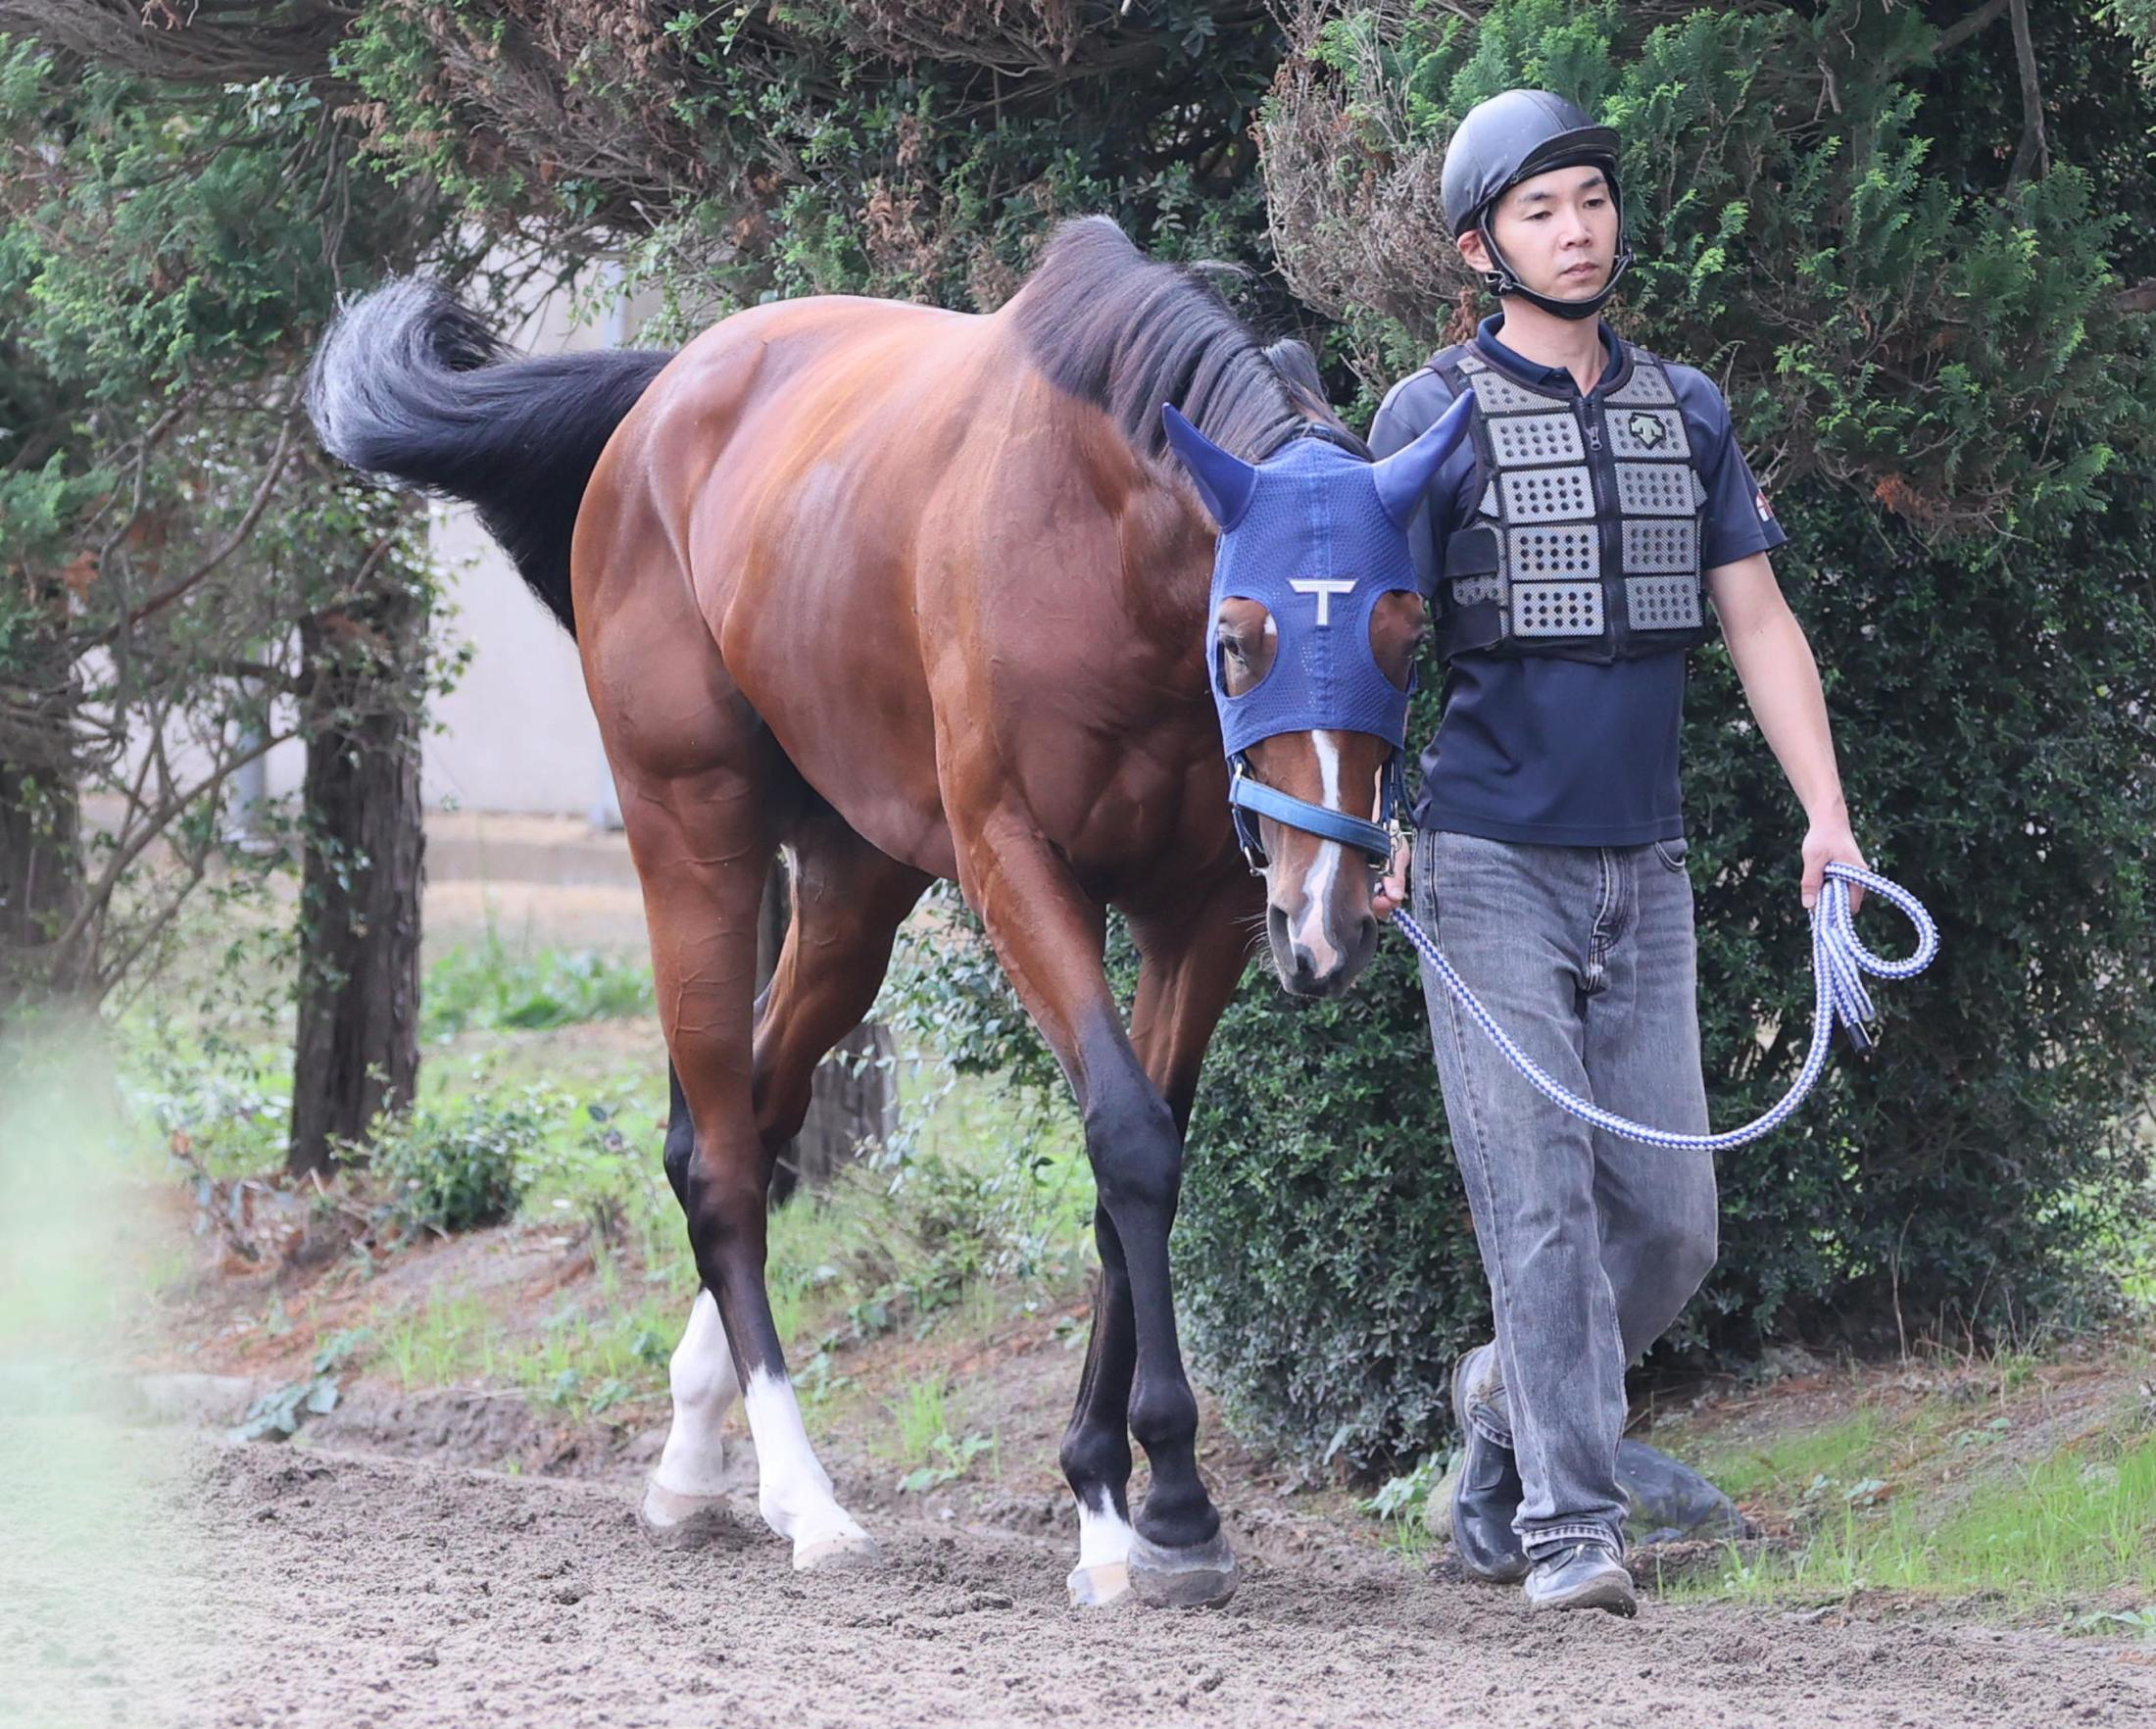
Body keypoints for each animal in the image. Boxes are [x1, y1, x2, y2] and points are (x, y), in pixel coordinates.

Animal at [308, 215, 1448, 1604]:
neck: (1099, 557)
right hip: (690, 835)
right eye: (1238, 637)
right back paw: (804, 1500)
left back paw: (694, 1453)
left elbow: (1138, 1160)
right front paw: (1166, 1507)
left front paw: (1112, 1501)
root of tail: (666, 396)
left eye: (1404, 635)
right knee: (724, 1159)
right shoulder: (1017, 867)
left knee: (744, 1114)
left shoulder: (1195, 916)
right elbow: (1128, 1139)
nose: (1330, 922)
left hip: (853, 885)